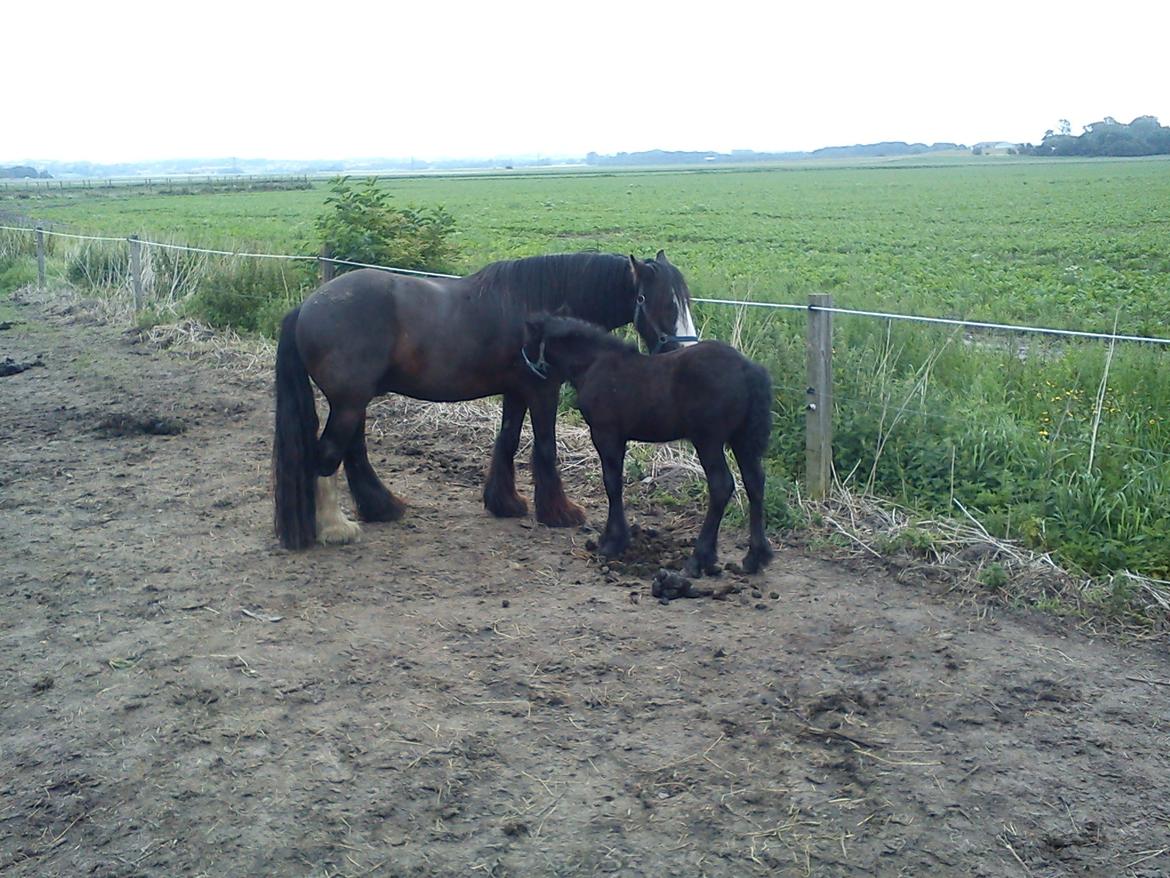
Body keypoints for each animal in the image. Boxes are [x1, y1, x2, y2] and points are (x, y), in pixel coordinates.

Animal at [272, 250, 698, 550]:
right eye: (649, 299)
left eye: (686, 300)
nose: (682, 351)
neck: (536, 310)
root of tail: (307, 307)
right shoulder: (543, 390)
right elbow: (545, 448)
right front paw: (559, 512)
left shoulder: (516, 391)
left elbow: (507, 441)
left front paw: (504, 503)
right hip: (348, 402)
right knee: (327, 456)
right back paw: (335, 528)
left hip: (354, 402)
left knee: (352, 452)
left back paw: (381, 508)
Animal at [521, 314, 774, 577]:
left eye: (528, 342)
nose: (526, 373)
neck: (594, 364)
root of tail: (748, 369)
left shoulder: (605, 434)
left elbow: (612, 483)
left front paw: (613, 541)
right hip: (742, 441)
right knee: (755, 484)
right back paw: (754, 558)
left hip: (708, 441)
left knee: (721, 486)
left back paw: (699, 558)